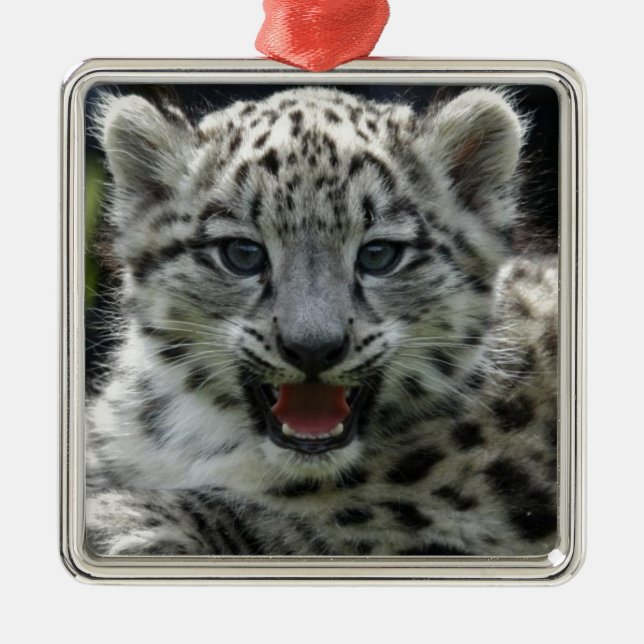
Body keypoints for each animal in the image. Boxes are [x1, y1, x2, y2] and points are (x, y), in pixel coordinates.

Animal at [85, 86, 559, 558]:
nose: (312, 348)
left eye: (379, 254)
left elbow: (323, 522)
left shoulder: (443, 520)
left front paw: (124, 517)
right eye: (242, 253)